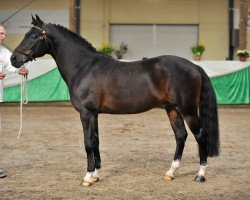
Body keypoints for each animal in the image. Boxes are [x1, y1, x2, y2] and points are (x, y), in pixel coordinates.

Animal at [10, 15, 220, 186]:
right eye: (27, 34)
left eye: (34, 36)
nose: (13, 59)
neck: (84, 67)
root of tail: (194, 66)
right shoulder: (94, 114)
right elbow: (95, 141)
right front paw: (96, 175)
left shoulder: (86, 113)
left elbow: (88, 143)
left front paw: (87, 177)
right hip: (172, 109)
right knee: (180, 136)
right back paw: (170, 172)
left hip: (187, 110)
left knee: (200, 136)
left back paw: (200, 175)